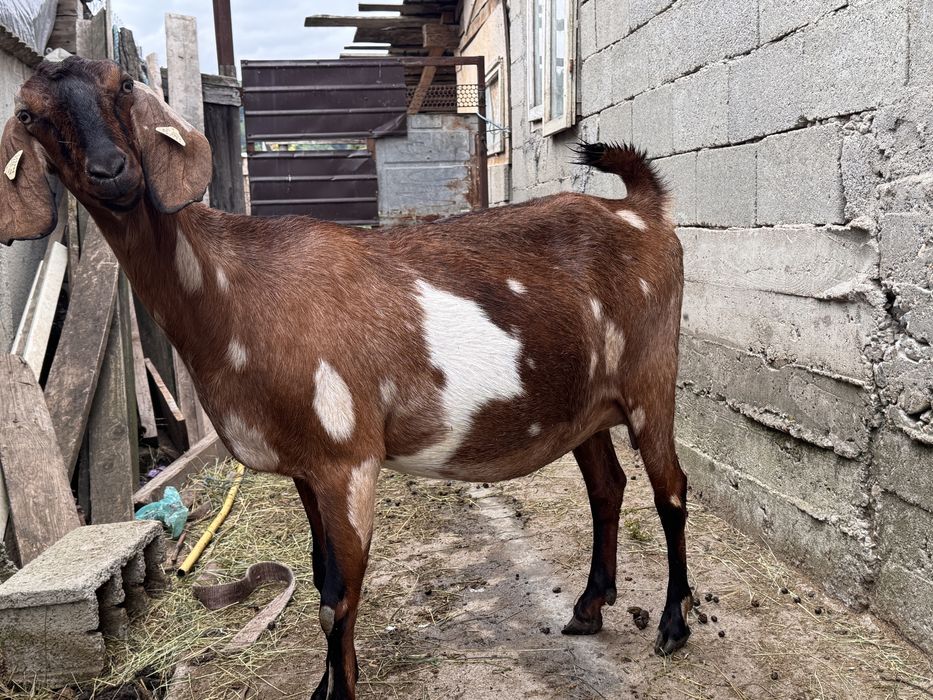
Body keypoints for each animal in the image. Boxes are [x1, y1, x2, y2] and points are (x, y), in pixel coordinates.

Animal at [0, 57, 689, 698]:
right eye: (30, 115)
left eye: (121, 85)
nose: (113, 170)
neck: (236, 292)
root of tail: (644, 210)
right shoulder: (306, 468)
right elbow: (317, 577)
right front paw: (323, 685)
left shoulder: (347, 459)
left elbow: (339, 598)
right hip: (585, 405)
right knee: (608, 487)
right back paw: (588, 608)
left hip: (652, 376)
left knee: (671, 490)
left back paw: (673, 625)